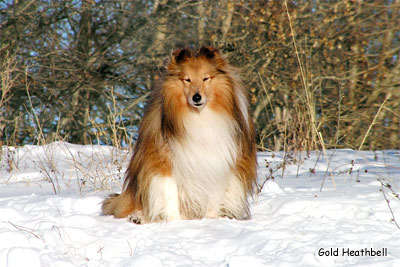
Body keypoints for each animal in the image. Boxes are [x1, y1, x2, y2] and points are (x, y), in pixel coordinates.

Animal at [102, 46, 256, 224]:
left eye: (206, 78)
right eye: (187, 80)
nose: (197, 97)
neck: (200, 117)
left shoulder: (219, 164)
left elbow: (213, 197)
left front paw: (211, 220)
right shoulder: (163, 162)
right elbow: (170, 195)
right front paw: (174, 221)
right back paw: (138, 217)